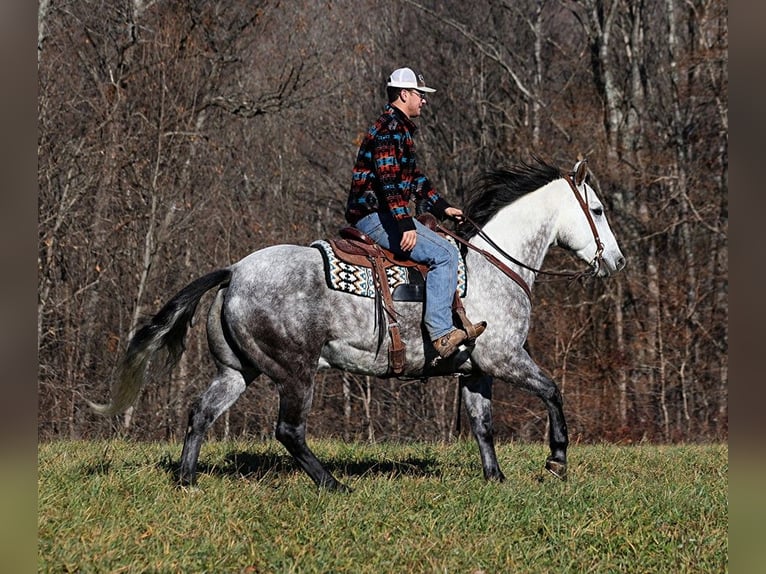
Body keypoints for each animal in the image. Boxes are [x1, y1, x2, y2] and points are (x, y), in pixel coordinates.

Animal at [90, 159, 628, 496]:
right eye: (598, 210)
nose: (617, 262)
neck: (495, 266)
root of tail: (234, 272)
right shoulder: (505, 358)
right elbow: (553, 391)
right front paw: (557, 460)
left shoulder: (477, 369)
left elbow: (482, 424)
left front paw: (495, 479)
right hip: (296, 372)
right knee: (288, 431)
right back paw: (334, 485)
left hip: (238, 370)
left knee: (201, 413)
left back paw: (187, 481)